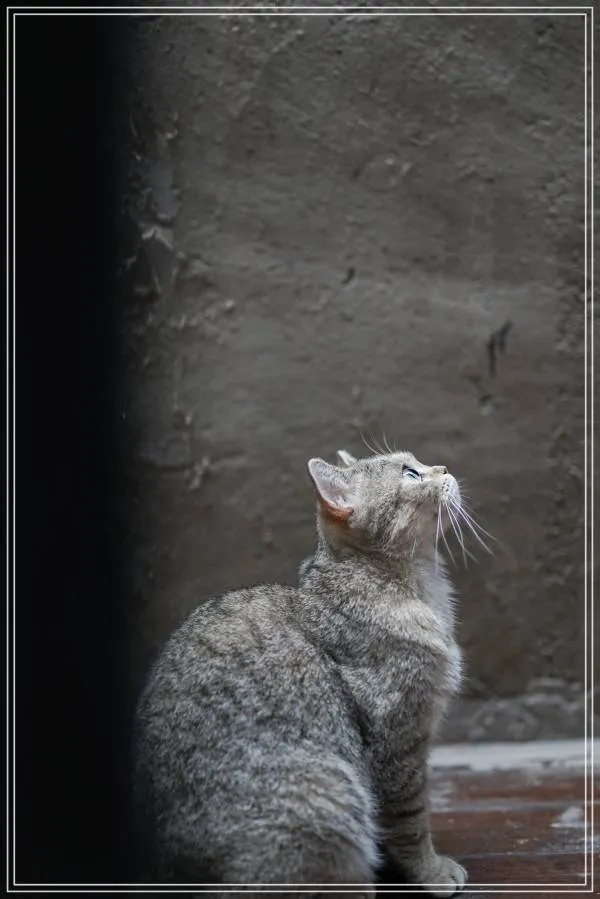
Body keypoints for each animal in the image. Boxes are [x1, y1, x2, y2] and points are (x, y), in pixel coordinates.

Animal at [132, 447, 468, 897]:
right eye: (410, 474)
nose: (444, 468)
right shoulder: (398, 741)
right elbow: (410, 821)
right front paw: (431, 871)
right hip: (330, 790)